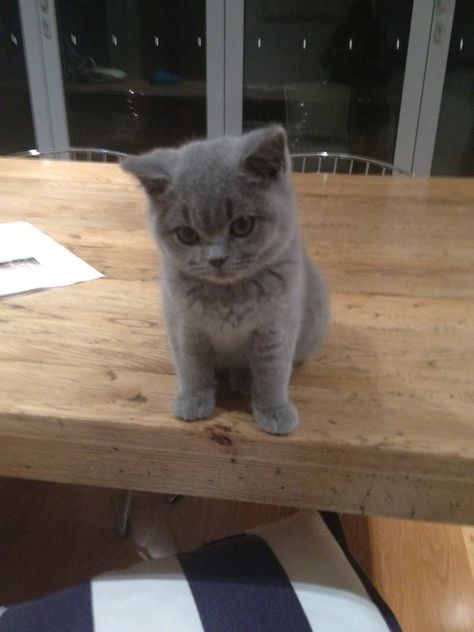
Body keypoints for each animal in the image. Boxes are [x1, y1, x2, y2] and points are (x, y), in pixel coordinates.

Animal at [122, 125, 328, 432]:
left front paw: (274, 410)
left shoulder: (276, 328)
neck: (229, 295)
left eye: (242, 225)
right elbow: (192, 366)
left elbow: (273, 373)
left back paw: (243, 380)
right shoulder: (186, 325)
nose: (216, 259)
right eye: (187, 234)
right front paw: (193, 399)